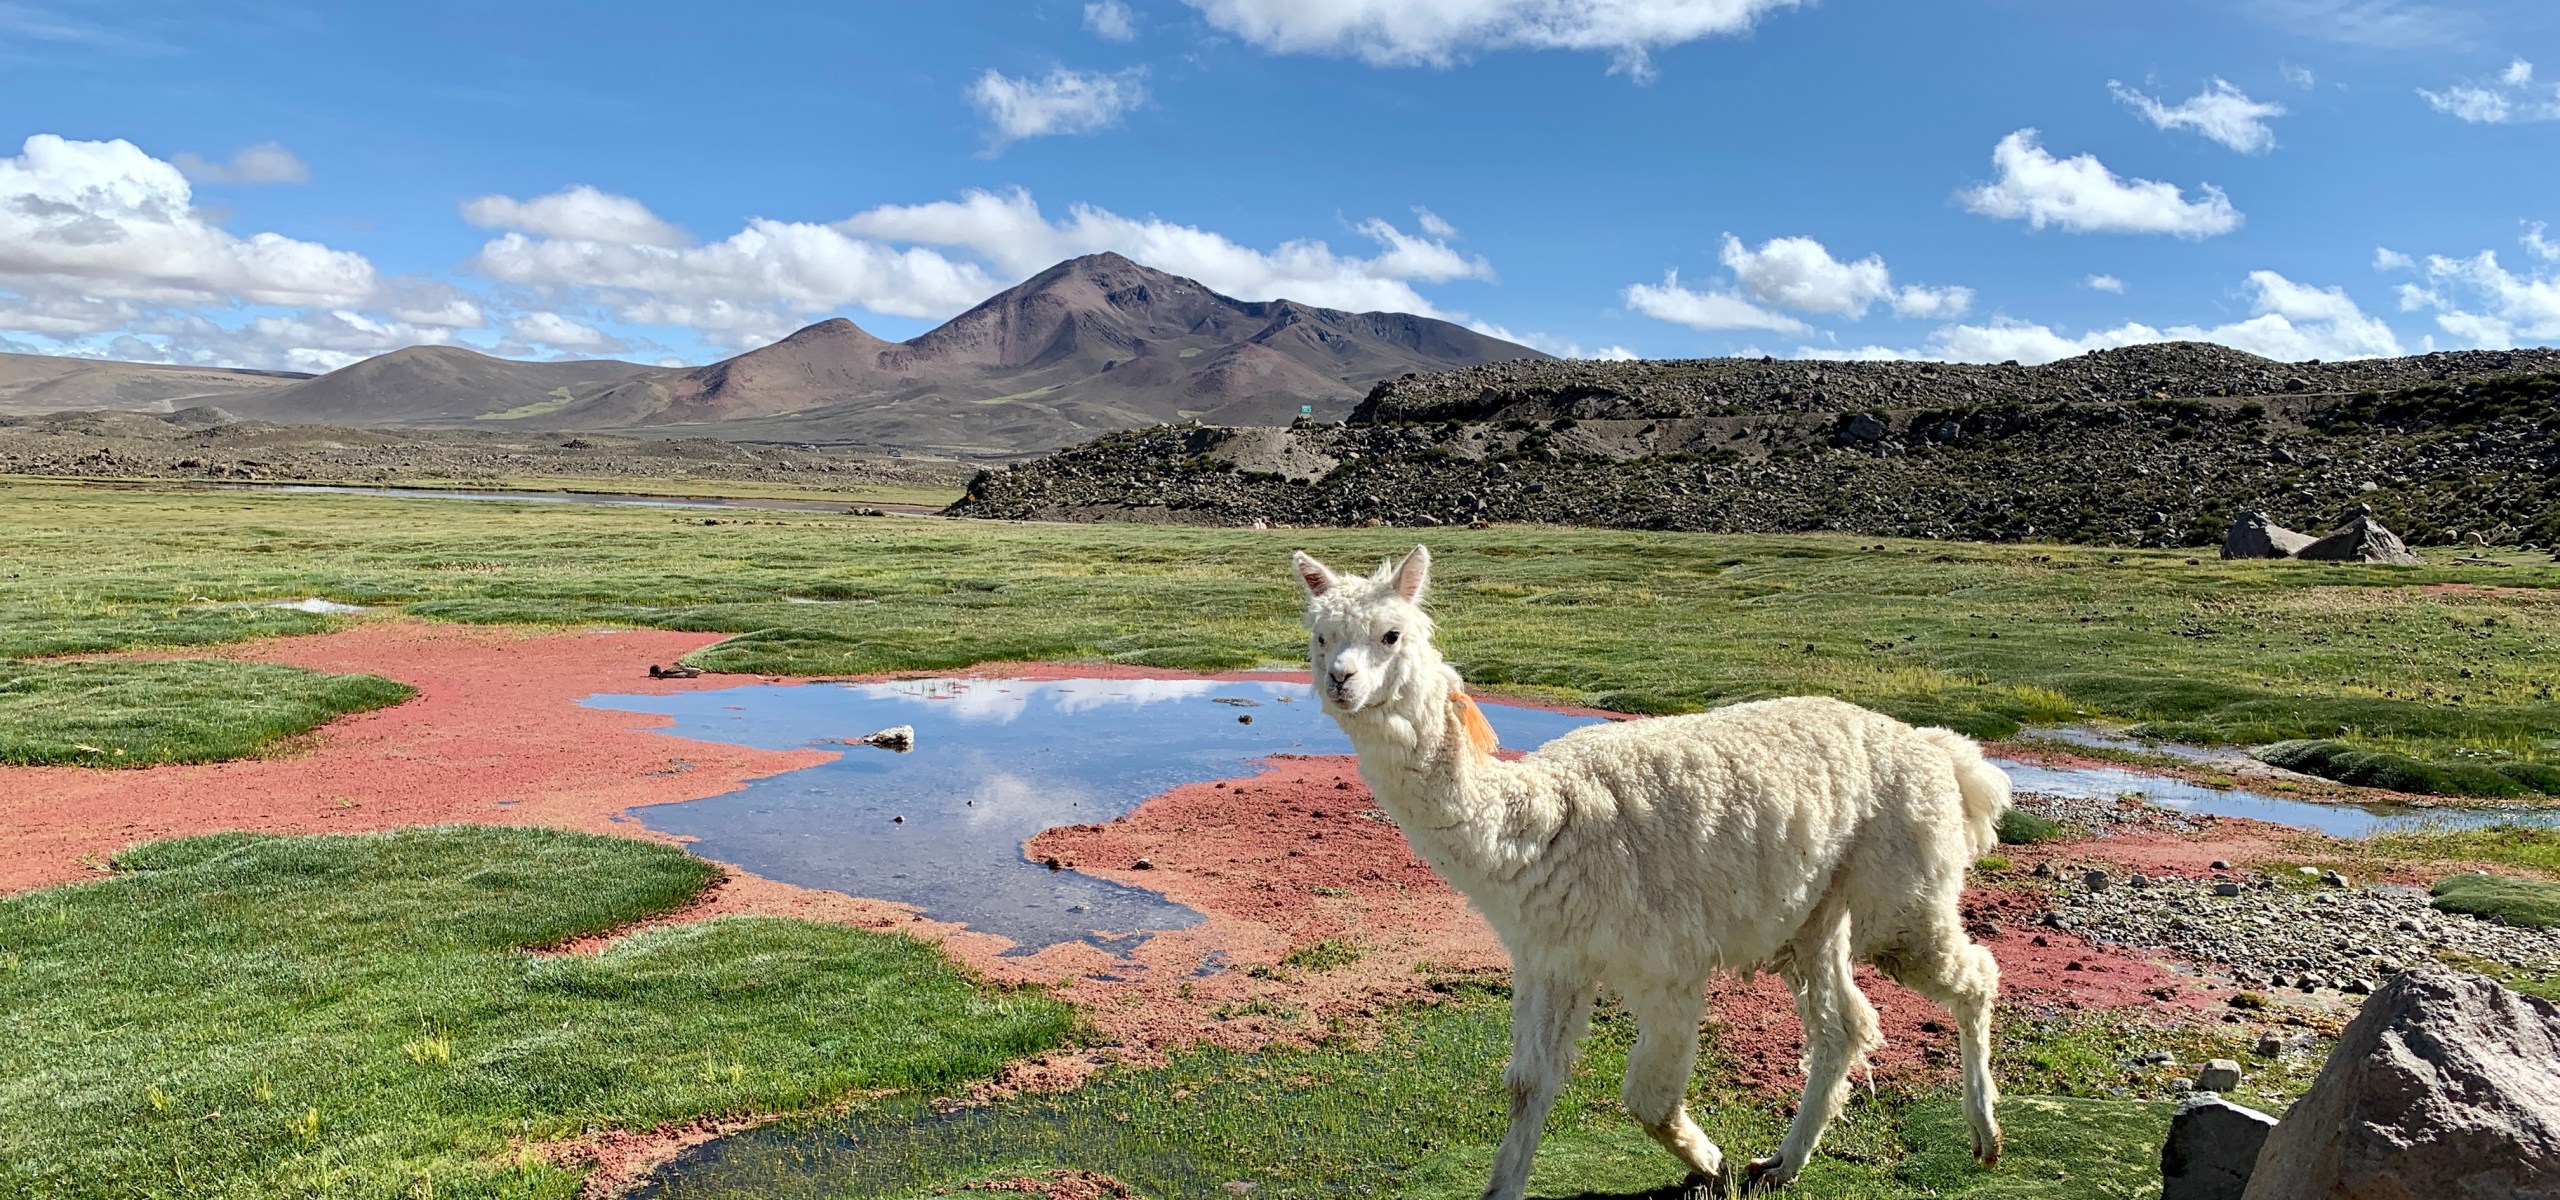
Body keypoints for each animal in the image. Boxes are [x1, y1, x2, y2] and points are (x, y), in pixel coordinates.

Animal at [1291, 546, 2008, 1198]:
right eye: (1320, 638)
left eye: (1391, 635)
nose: (1340, 681)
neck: (1542, 822)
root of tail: (1934, 747)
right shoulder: (1552, 959)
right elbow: (1529, 1085)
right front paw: (1505, 1186)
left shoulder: (1667, 964)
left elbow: (1648, 1098)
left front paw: (1711, 1163)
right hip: (1813, 911)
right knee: (1843, 1028)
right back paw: (1783, 1163)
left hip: (1901, 892)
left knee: (1972, 976)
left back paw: (1984, 1135)